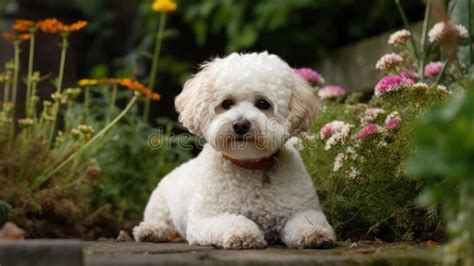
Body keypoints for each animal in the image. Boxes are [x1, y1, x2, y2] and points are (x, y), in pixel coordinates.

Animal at [131, 51, 336, 249]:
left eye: (263, 103)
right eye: (226, 103)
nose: (241, 125)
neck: (249, 166)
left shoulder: (303, 208)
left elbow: (308, 221)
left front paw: (315, 233)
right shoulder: (205, 219)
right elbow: (232, 222)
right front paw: (243, 234)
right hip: (159, 203)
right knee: (158, 221)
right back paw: (152, 230)